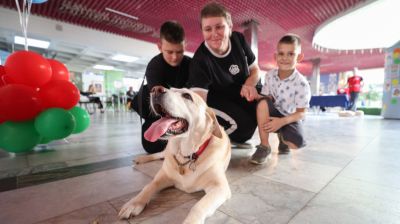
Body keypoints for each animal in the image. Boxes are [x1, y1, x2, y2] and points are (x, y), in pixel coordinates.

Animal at [119, 86, 231, 223]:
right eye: (171, 89)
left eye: (187, 96)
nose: (156, 89)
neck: (186, 155)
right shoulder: (162, 177)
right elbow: (148, 186)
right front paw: (133, 203)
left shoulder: (220, 187)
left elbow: (198, 206)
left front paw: (191, 221)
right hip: (165, 152)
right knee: (158, 154)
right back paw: (141, 159)